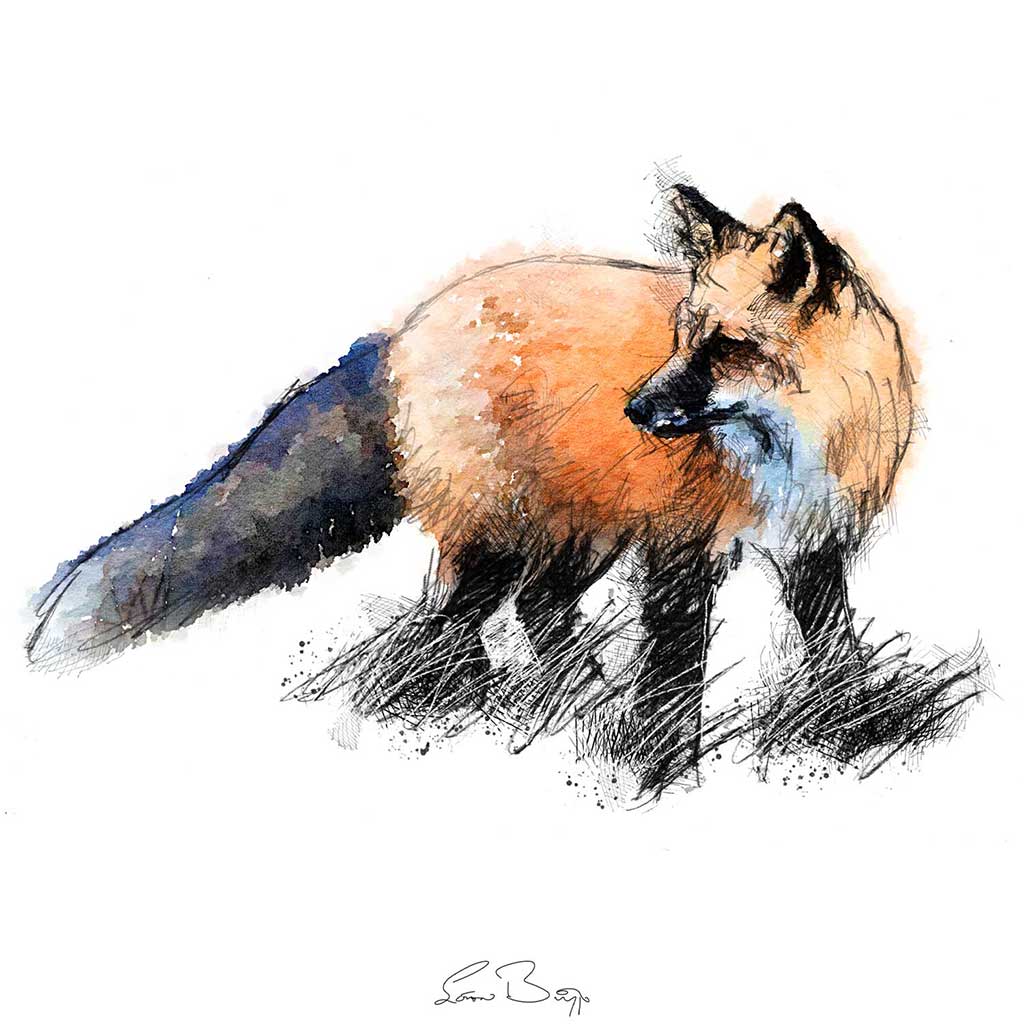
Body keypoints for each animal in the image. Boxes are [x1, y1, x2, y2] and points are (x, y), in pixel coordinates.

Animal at [27, 185, 916, 796]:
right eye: (681, 338)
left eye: (726, 347)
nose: (636, 410)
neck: (793, 448)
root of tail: (402, 332)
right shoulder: (680, 548)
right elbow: (671, 678)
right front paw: (656, 773)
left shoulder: (816, 543)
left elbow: (834, 652)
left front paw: (857, 733)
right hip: (505, 539)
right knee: (446, 625)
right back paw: (461, 707)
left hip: (577, 538)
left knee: (532, 609)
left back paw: (577, 696)